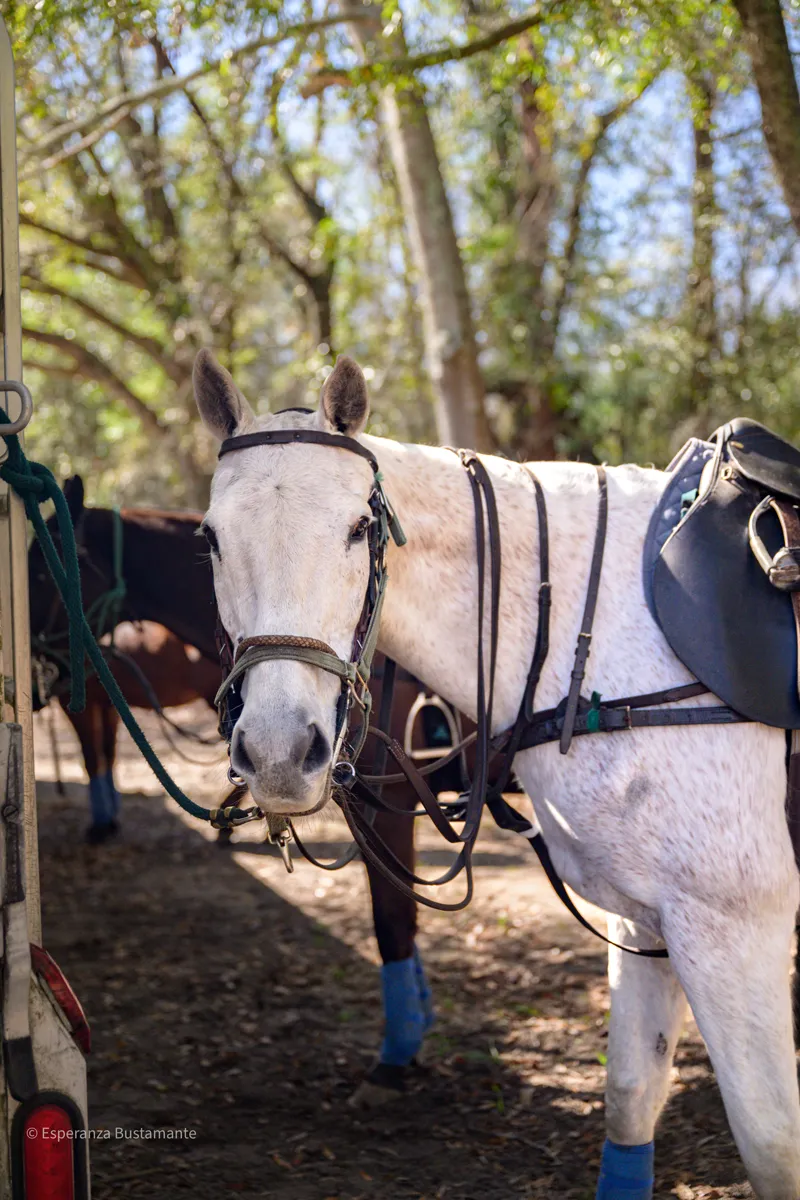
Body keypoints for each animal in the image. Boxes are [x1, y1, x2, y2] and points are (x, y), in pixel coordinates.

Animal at [194, 349, 800, 1200]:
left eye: (358, 528)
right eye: (211, 539)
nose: (280, 751)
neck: (602, 635)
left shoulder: (733, 930)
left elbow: (771, 1141)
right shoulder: (647, 921)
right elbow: (628, 1099)